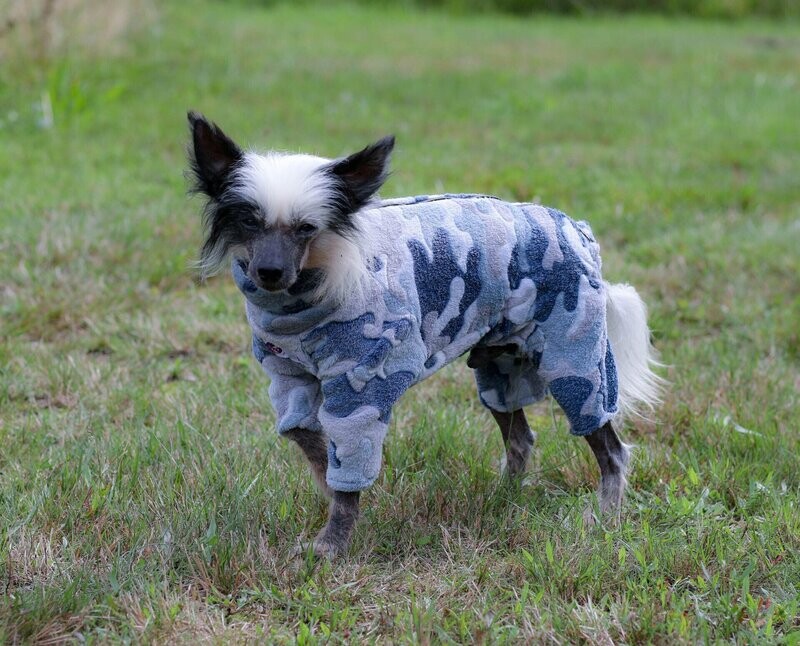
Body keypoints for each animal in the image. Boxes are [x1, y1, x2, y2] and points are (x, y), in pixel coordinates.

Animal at [188, 111, 664, 556]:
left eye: (307, 228)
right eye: (249, 222)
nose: (269, 272)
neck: (306, 299)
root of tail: (575, 230)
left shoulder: (361, 390)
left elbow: (348, 469)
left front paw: (331, 544)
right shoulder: (290, 379)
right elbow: (305, 437)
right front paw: (327, 479)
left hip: (575, 361)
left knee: (611, 449)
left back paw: (605, 518)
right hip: (500, 366)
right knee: (521, 439)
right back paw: (502, 500)